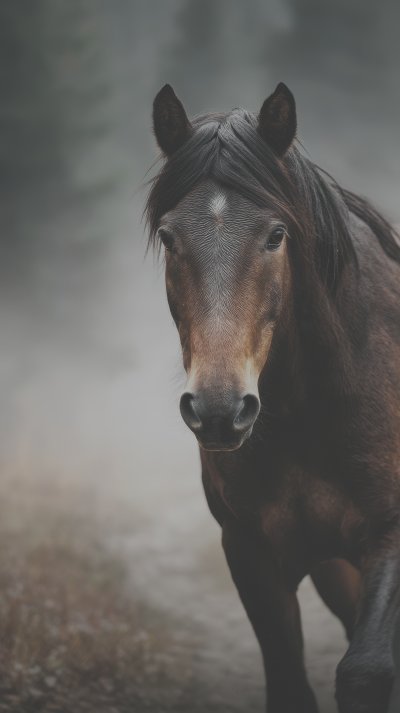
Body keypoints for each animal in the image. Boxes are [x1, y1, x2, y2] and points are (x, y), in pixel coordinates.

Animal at [145, 82, 400, 713]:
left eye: (276, 235)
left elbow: (365, 672)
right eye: (169, 237)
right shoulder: (251, 551)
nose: (217, 410)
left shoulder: (390, 532)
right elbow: (289, 683)